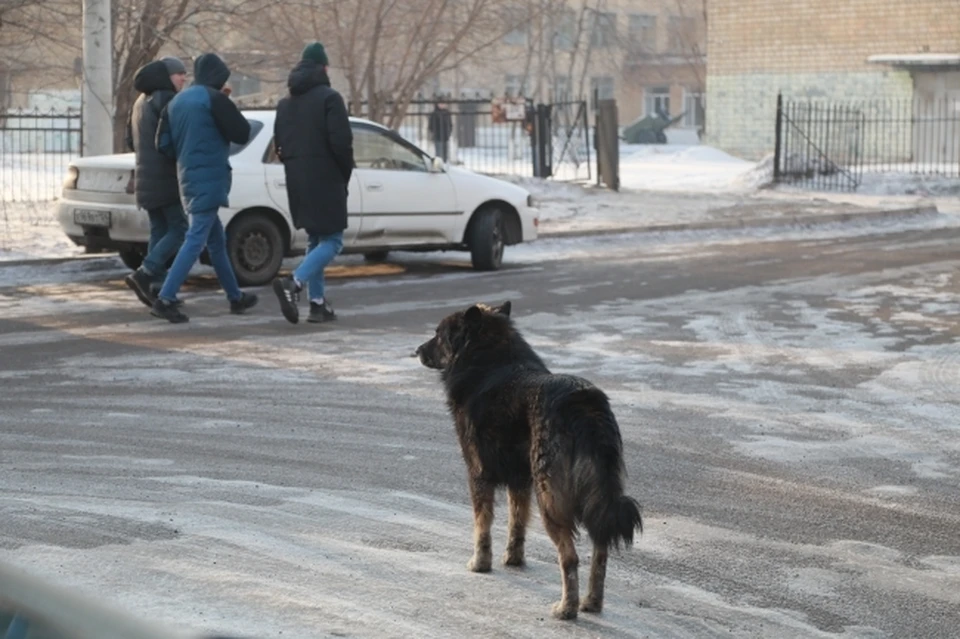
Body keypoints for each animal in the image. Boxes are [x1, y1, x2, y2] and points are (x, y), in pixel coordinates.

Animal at [416, 302, 640, 624]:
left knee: (570, 557)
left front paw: (480, 563)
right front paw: (513, 559)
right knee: (601, 550)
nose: (417, 350)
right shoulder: (520, 480)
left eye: (439, 334)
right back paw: (592, 602)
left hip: (550, 498)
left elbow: (482, 526)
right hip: (596, 495)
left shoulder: (478, 474)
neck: (490, 358)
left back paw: (567, 608)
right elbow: (517, 521)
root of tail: (585, 402)